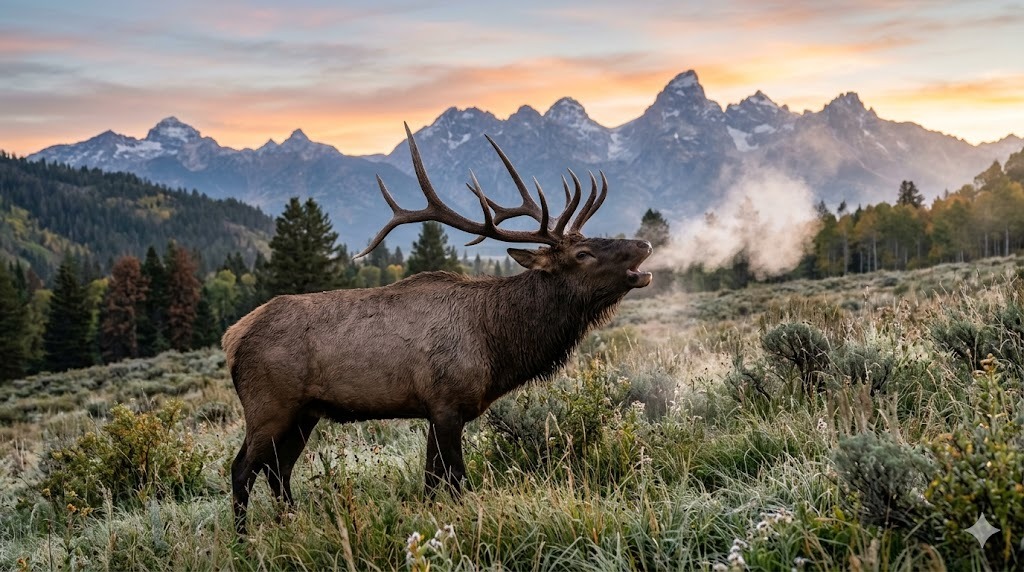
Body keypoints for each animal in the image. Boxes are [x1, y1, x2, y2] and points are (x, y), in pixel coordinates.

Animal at [223, 123, 652, 535]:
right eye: (583, 253)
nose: (645, 244)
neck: (498, 344)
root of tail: (233, 337)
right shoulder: (446, 404)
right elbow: (456, 479)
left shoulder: (436, 409)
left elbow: (431, 482)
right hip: (268, 405)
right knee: (243, 468)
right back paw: (243, 538)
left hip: (305, 413)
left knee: (278, 469)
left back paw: (291, 523)